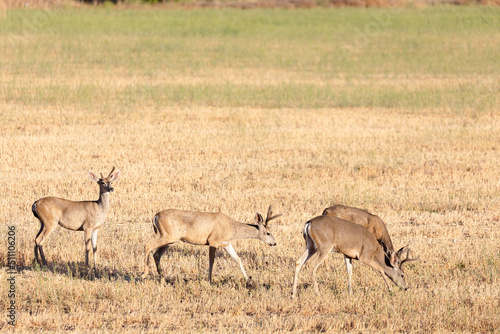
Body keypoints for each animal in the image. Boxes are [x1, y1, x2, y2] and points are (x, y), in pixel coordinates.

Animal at [142, 205, 282, 284]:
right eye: (268, 233)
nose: (274, 243)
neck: (232, 228)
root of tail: (156, 215)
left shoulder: (226, 243)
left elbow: (238, 259)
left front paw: (248, 280)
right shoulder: (213, 241)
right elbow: (211, 261)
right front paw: (210, 281)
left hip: (171, 239)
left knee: (156, 254)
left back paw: (162, 278)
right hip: (168, 235)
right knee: (147, 246)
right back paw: (144, 273)